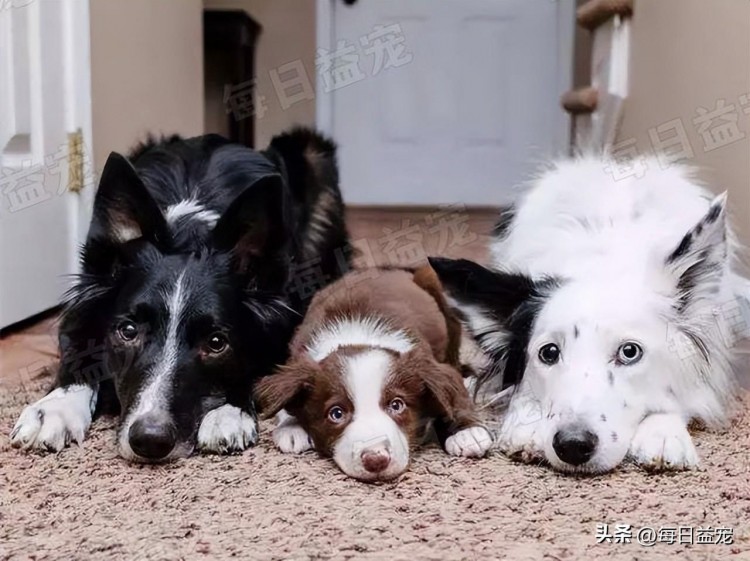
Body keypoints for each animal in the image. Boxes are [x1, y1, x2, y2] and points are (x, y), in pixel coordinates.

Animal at [258, 266, 494, 482]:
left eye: (397, 405)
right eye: (336, 413)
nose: (376, 460)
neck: (356, 336)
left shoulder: (430, 363)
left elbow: (449, 389)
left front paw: (466, 432)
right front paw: (291, 425)